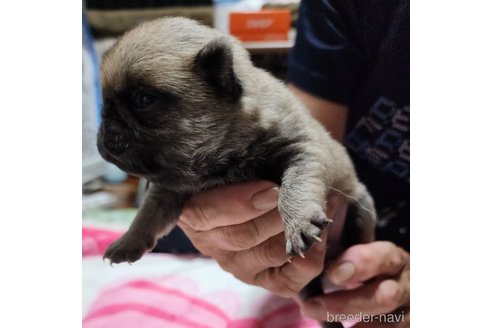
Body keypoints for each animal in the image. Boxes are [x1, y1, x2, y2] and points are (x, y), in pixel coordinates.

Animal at [97, 16, 376, 316]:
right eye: (105, 105)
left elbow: (295, 187)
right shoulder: (168, 187)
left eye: (144, 100)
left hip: (361, 210)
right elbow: (148, 214)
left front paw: (298, 221)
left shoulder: (303, 151)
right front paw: (128, 240)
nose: (106, 134)